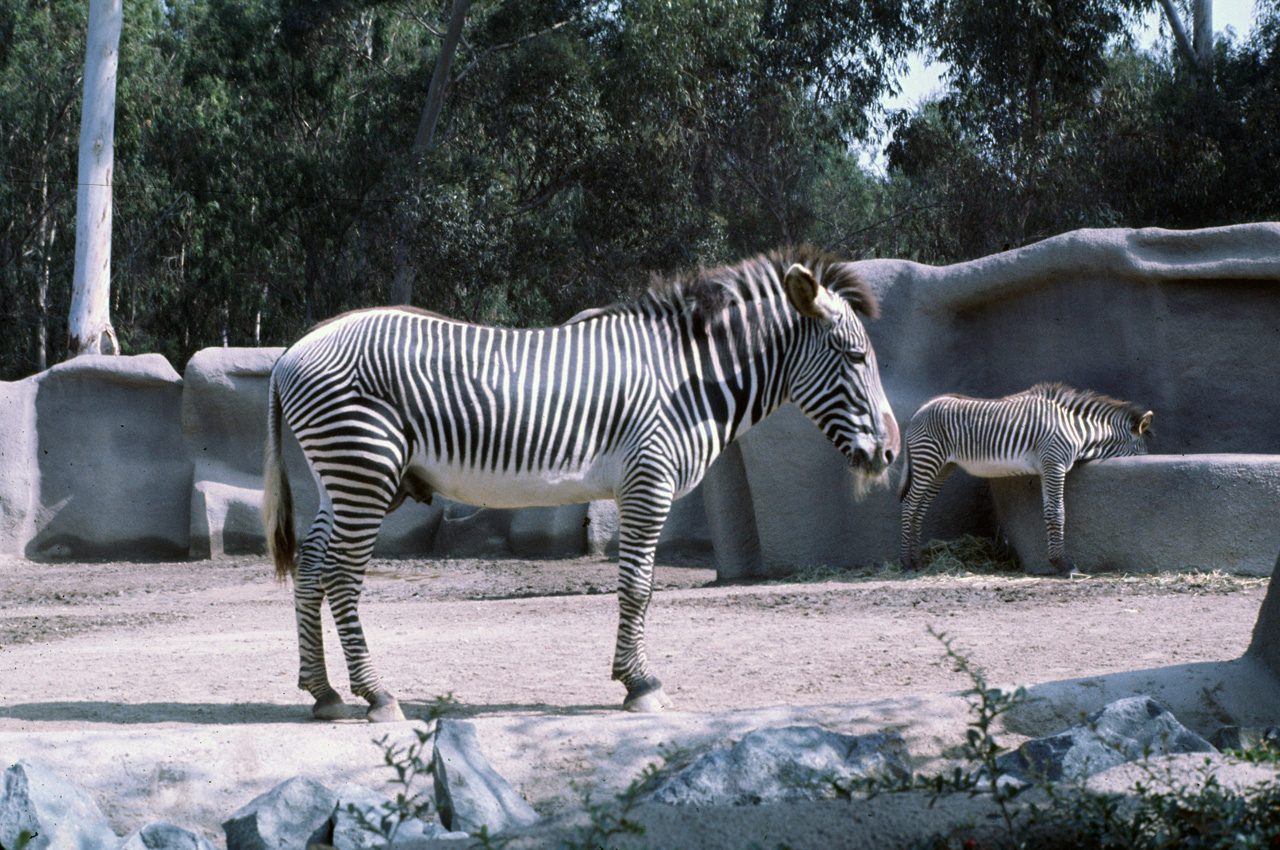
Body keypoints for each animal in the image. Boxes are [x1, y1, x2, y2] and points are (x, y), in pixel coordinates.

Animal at [263, 247, 896, 721]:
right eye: (855, 356)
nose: (890, 452)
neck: (689, 380)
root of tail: (292, 351)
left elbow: (640, 588)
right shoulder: (648, 481)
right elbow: (638, 588)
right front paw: (640, 685)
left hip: (341, 478)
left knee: (313, 568)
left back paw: (323, 693)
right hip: (364, 467)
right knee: (341, 576)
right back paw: (377, 695)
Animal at [896, 384, 1157, 570]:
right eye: (1141, 451)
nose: (1149, 458)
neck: (1076, 431)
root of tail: (920, 409)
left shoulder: (1047, 468)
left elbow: (1049, 512)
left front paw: (1057, 562)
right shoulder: (1054, 464)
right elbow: (1057, 512)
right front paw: (1064, 565)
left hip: (943, 467)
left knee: (919, 508)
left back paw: (917, 561)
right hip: (928, 458)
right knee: (909, 505)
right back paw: (907, 563)